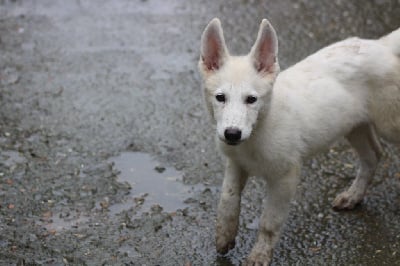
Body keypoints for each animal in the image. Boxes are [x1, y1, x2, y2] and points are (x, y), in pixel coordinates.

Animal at [198, 17, 400, 264]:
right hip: (354, 126)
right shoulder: (236, 163)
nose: (232, 134)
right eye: (220, 97)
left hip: (389, 123)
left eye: (251, 99)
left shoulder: (285, 177)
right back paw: (353, 196)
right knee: (373, 154)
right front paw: (225, 235)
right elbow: (227, 198)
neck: (258, 131)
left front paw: (259, 255)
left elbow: (269, 222)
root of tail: (382, 45)